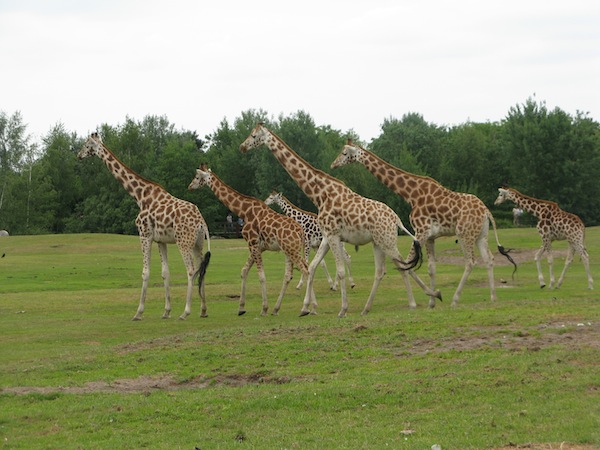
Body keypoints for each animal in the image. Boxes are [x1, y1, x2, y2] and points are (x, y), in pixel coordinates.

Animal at [77, 133, 211, 320]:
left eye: (87, 144)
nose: (79, 155)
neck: (140, 196)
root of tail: (201, 221)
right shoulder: (161, 240)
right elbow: (165, 273)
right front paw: (166, 311)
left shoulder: (144, 234)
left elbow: (145, 272)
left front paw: (138, 312)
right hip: (198, 242)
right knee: (201, 269)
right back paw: (203, 310)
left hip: (183, 242)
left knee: (191, 270)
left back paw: (185, 312)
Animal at [190, 163, 316, 314]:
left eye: (197, 177)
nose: (190, 186)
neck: (244, 211)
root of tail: (300, 232)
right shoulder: (258, 246)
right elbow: (244, 271)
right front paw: (241, 307)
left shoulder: (252, 242)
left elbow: (261, 275)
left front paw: (264, 308)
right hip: (289, 249)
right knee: (293, 273)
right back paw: (285, 308)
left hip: (292, 249)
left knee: (305, 270)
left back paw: (305, 308)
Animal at [239, 121, 440, 318]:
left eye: (254, 135)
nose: (242, 146)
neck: (320, 194)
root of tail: (396, 219)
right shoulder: (327, 237)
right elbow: (312, 267)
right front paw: (306, 308)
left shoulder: (333, 235)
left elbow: (340, 270)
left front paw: (342, 309)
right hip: (378, 242)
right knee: (387, 269)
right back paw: (374, 307)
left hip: (386, 240)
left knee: (402, 265)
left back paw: (418, 301)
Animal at [328, 142, 516, 310]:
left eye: (344, 153)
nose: (333, 164)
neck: (411, 194)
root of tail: (486, 212)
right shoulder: (430, 236)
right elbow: (431, 268)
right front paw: (432, 302)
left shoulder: (421, 231)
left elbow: (408, 263)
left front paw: (431, 297)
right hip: (481, 235)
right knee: (489, 259)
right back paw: (493, 297)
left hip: (465, 234)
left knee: (470, 262)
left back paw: (455, 300)